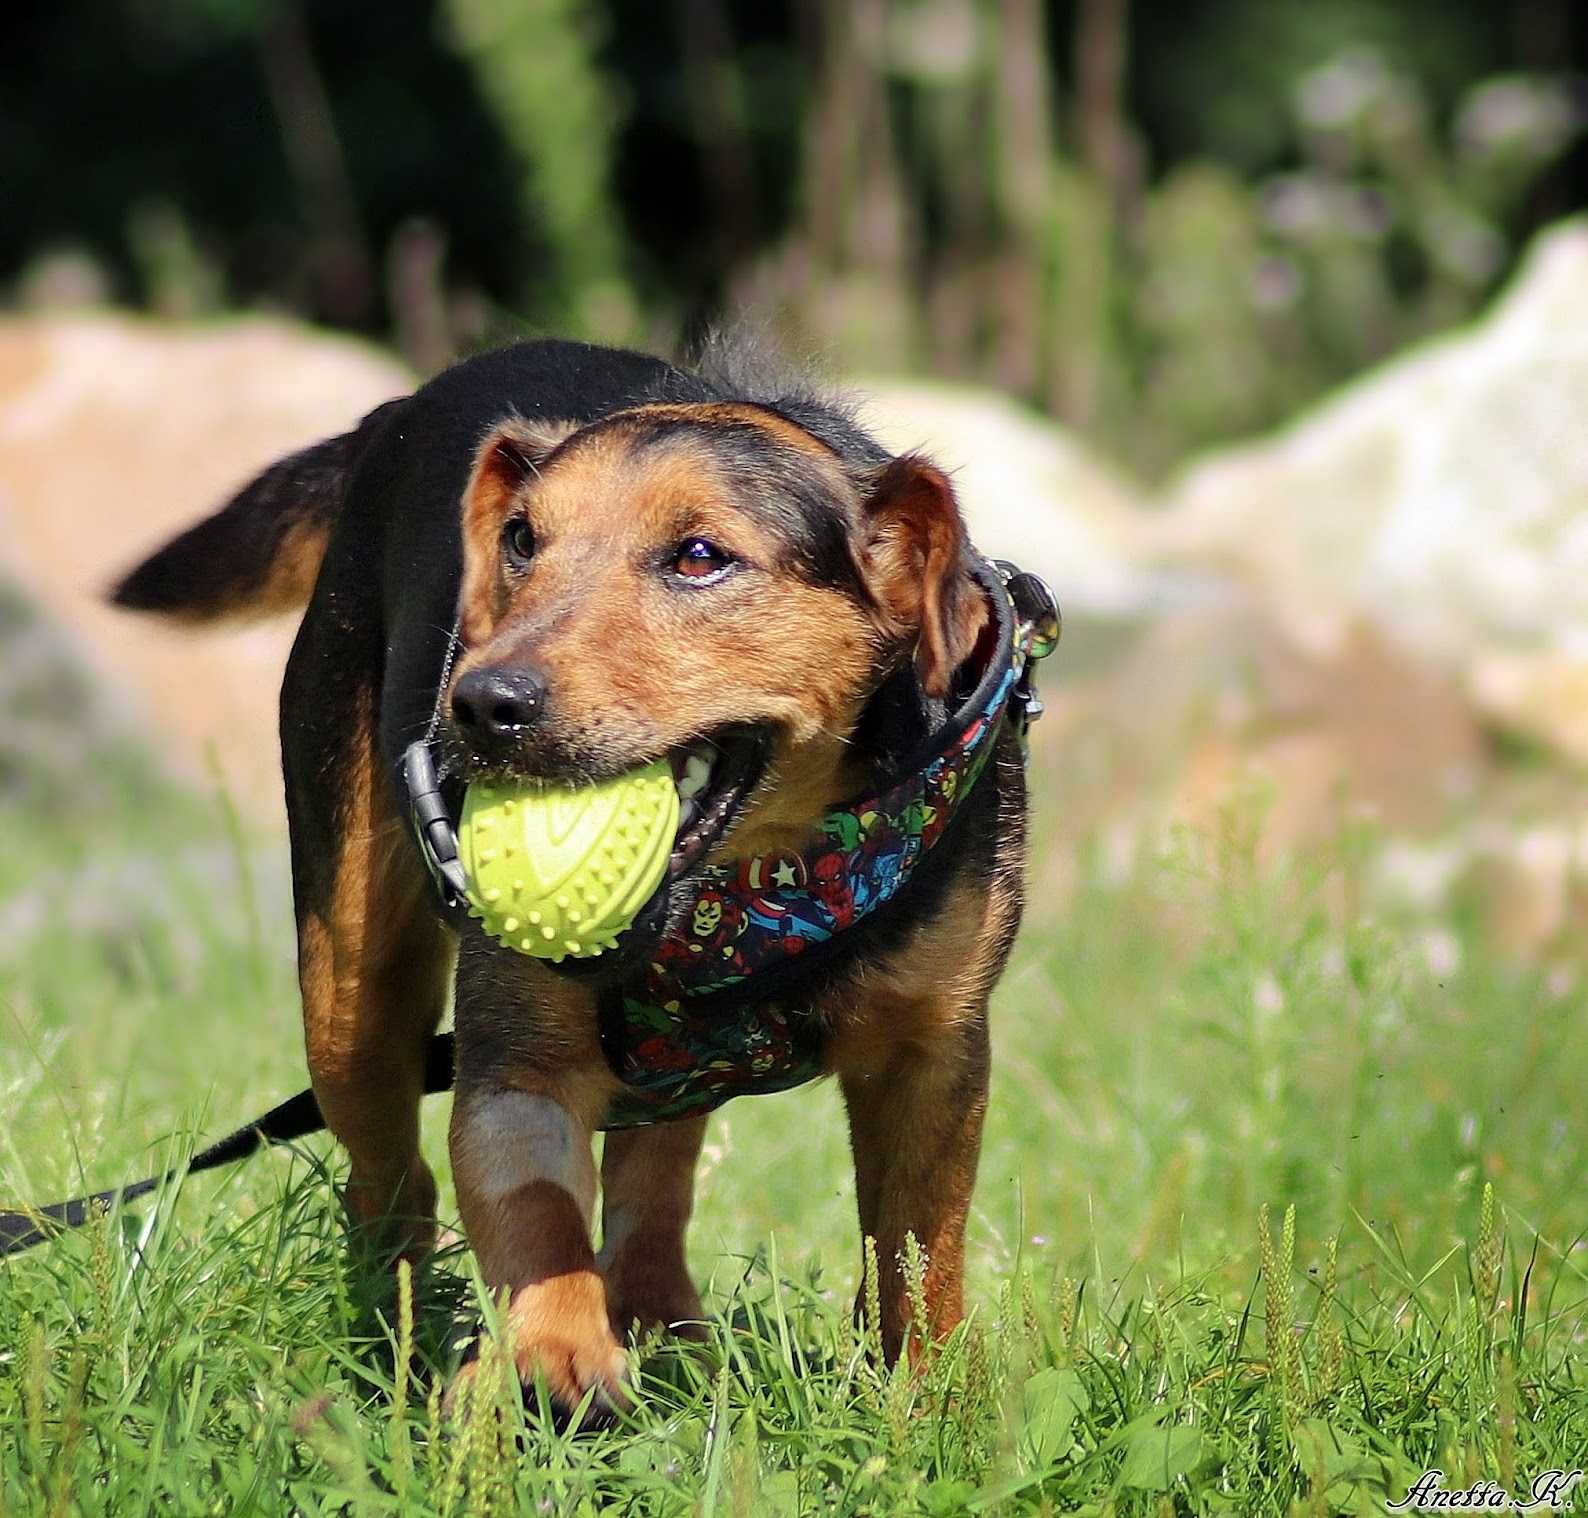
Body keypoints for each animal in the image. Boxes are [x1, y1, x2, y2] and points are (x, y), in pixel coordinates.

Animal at [117, 338, 1048, 1416]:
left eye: (700, 556)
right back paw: (403, 1336)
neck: (760, 894)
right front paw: (551, 1352)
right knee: (392, 1185)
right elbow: (533, 1211)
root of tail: (390, 412)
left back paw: (664, 1330)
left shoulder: (935, 1053)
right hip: (349, 993)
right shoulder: (517, 1063)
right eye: (521, 541)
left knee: (652, 1181)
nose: (481, 704)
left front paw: (935, 1408)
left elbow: (915, 1253)